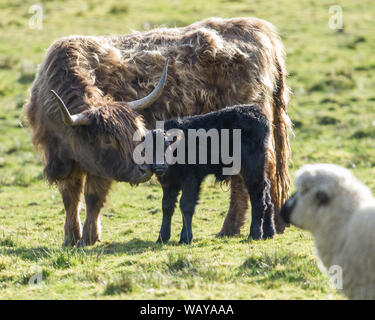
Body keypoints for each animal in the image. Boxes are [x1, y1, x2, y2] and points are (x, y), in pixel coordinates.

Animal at [150, 104, 276, 244]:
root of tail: (255, 110)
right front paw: (162, 237)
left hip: (252, 167)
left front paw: (186, 238)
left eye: (167, 145)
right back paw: (269, 233)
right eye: (149, 147)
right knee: (267, 196)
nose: (159, 166)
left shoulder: (191, 178)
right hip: (260, 169)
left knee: (258, 198)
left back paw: (255, 234)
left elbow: (186, 205)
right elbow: (167, 206)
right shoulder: (168, 183)